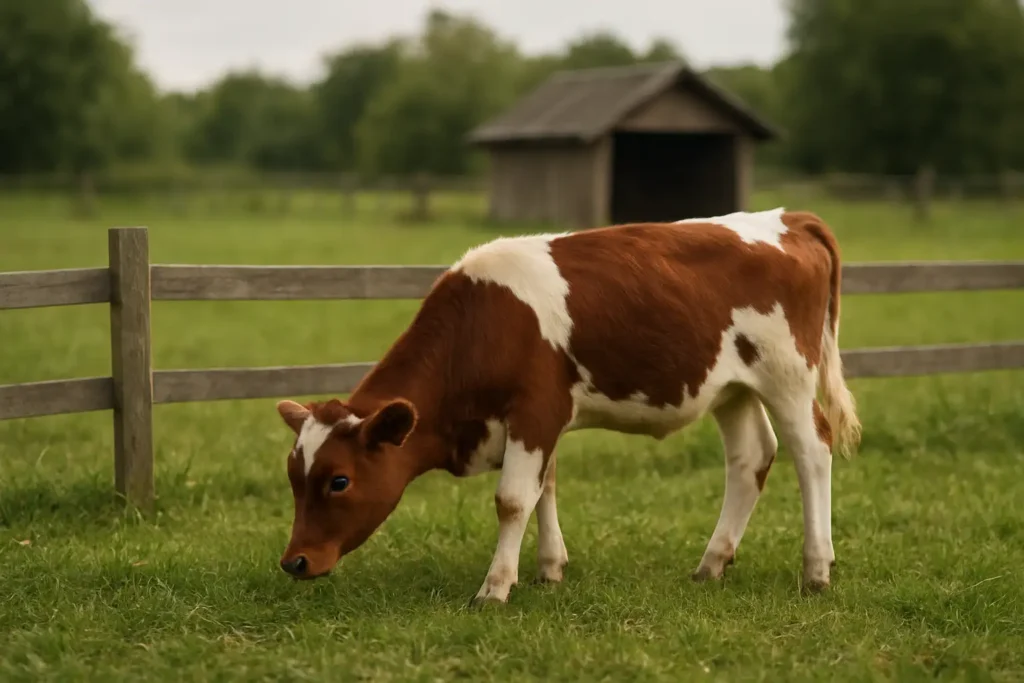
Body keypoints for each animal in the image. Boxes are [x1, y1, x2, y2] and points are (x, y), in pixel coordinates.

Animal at [274, 207, 862, 603]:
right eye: (294, 477)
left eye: (340, 480)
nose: (294, 561)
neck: (483, 322)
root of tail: (786, 218)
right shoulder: (540, 421)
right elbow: (545, 489)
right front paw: (549, 568)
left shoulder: (535, 410)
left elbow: (513, 499)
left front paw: (495, 586)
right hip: (731, 387)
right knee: (750, 458)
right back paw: (711, 563)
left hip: (788, 376)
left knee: (812, 452)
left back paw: (816, 569)